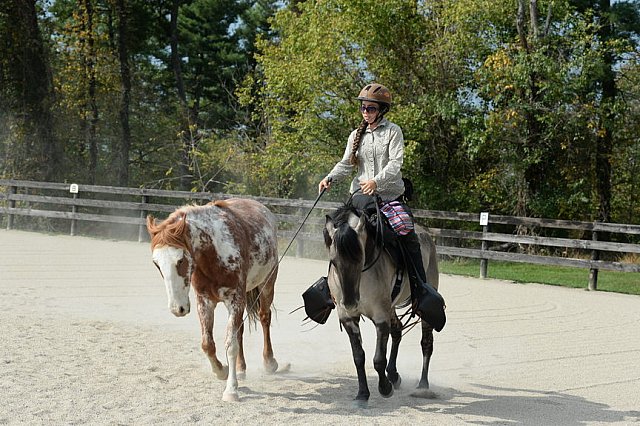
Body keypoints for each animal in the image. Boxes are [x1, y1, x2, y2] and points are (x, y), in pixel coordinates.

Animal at [149, 198, 282, 402]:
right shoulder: (205, 302)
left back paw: (269, 362)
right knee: (240, 330)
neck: (214, 253)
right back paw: (240, 368)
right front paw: (223, 371)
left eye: (180, 260)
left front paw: (231, 390)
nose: (177, 308)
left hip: (267, 283)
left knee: (264, 318)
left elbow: (230, 345)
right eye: (156, 264)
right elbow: (208, 344)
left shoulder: (235, 300)